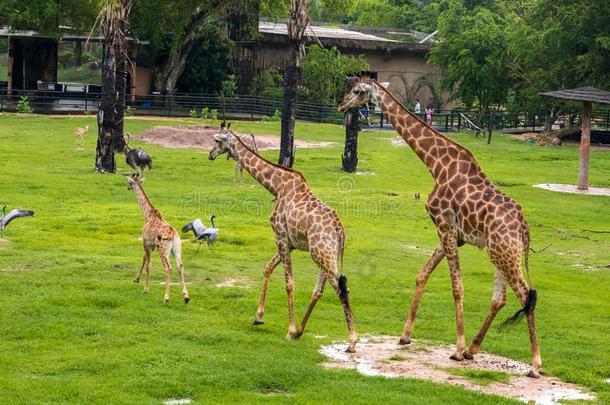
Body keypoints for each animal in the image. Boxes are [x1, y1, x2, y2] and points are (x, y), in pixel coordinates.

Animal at [338, 77, 540, 378]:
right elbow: (422, 275)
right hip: (500, 251)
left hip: (504, 251)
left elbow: (457, 288)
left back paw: (535, 364)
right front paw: (405, 336)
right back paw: (473, 350)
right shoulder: (452, 234)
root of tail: (524, 227)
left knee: (526, 295)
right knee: (500, 298)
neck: (436, 165)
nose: (341, 105)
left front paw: (455, 348)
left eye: (356, 91)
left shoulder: (445, 226)